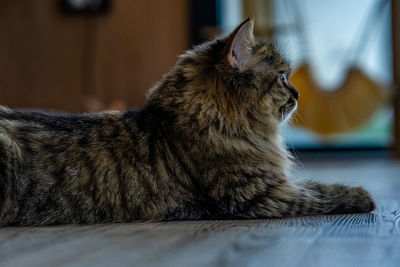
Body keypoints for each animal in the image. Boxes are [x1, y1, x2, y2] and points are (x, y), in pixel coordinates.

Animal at [0, 18, 376, 227]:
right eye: (283, 77)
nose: (297, 93)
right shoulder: (260, 194)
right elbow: (321, 192)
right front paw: (364, 196)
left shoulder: (274, 187)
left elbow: (314, 185)